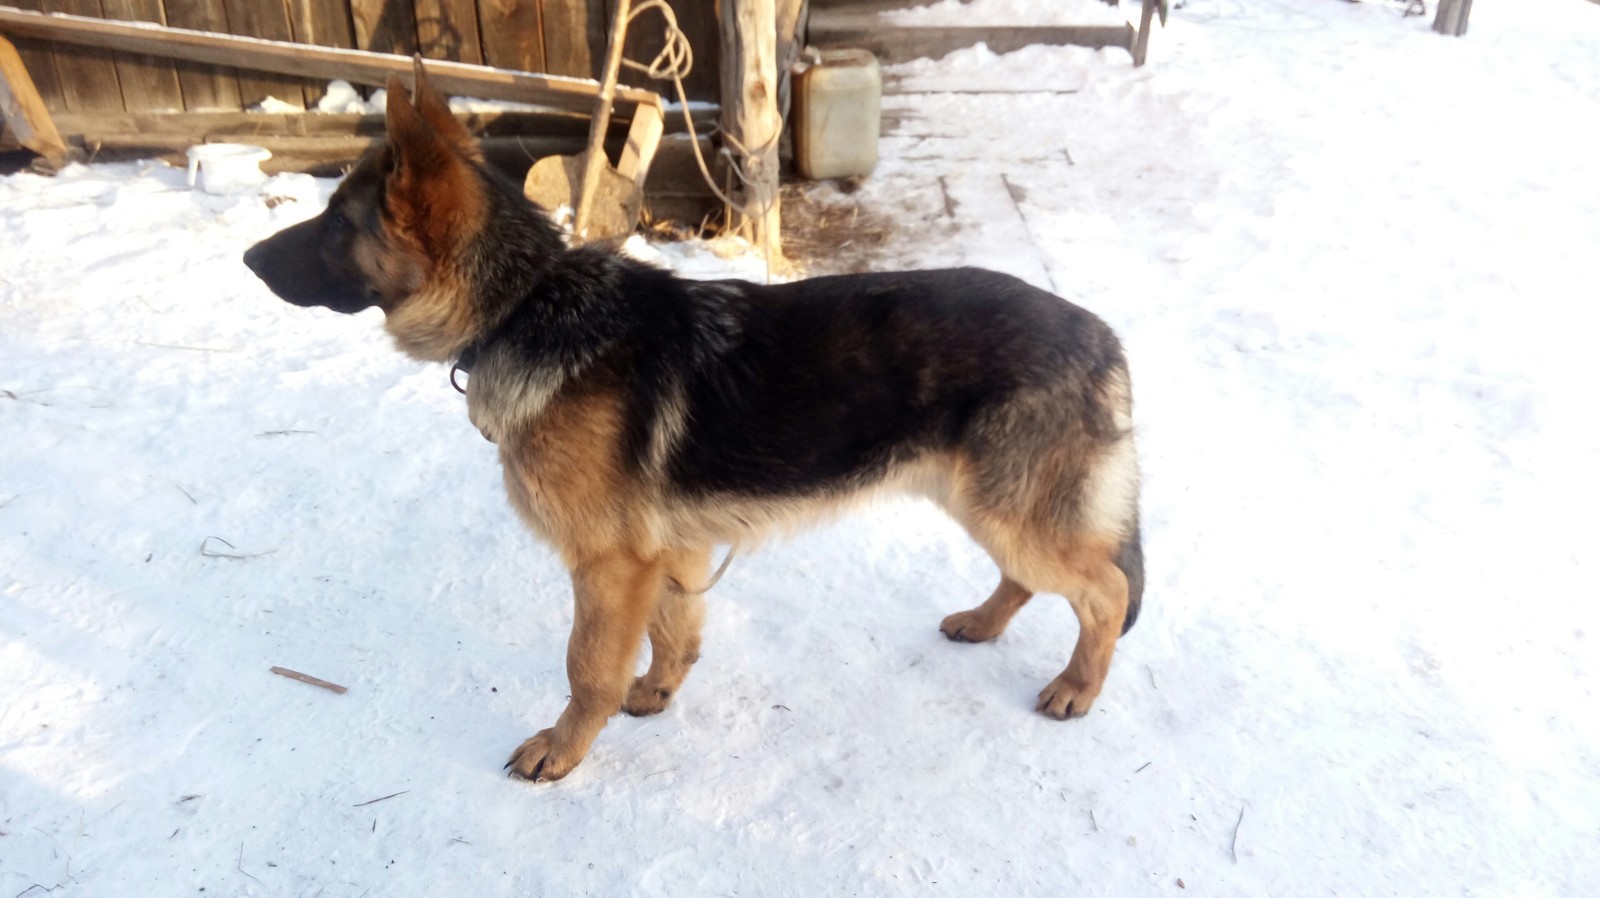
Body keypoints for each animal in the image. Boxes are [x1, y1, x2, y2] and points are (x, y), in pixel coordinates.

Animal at [243, 70, 1145, 781]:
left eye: (335, 224)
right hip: (987, 503)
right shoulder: (666, 551)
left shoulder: (609, 565)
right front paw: (655, 694)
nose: (248, 259)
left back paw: (1078, 687)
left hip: (1008, 508)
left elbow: (587, 667)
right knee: (1035, 577)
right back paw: (985, 623)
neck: (524, 304)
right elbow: (674, 634)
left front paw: (564, 750)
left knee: (1106, 590)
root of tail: (1103, 333)